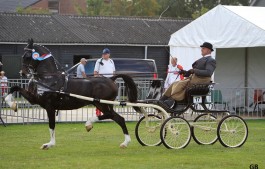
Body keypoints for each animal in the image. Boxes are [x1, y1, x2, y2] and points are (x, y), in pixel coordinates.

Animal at [5, 39, 138, 149]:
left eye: (27, 56)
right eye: (23, 56)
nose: (22, 73)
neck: (48, 78)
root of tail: (111, 79)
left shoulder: (49, 106)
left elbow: (51, 125)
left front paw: (49, 144)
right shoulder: (34, 99)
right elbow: (14, 87)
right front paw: (13, 105)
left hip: (102, 104)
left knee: (114, 116)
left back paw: (92, 125)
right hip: (102, 104)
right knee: (117, 118)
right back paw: (122, 141)